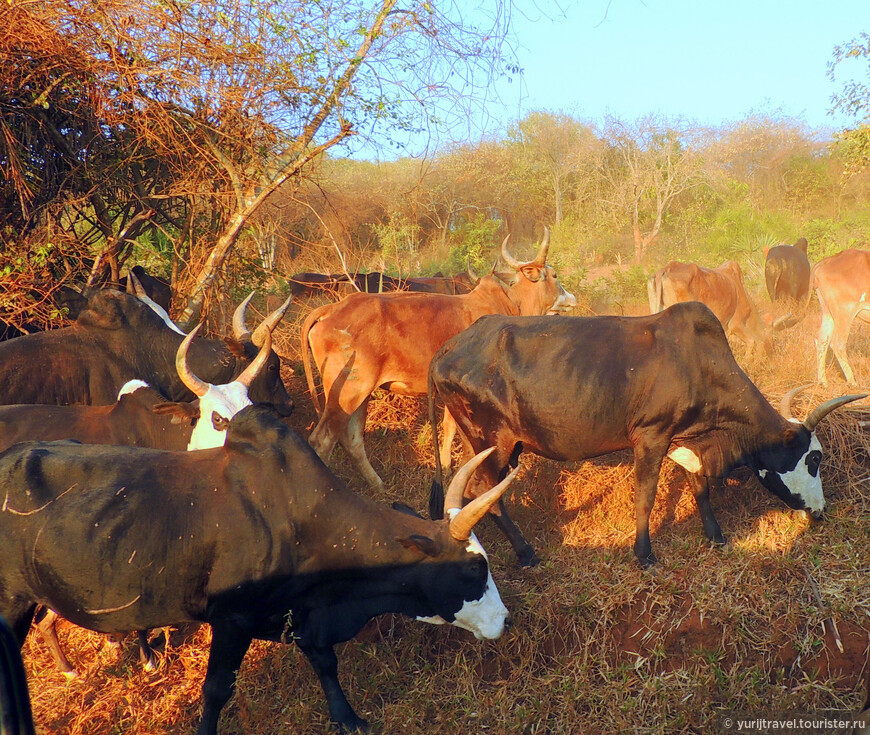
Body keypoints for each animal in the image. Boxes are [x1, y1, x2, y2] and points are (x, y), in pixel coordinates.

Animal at [0, 406, 516, 732]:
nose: (506, 621)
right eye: (473, 571)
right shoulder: (233, 620)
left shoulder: (305, 615)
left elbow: (326, 664)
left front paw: (348, 719)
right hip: (12, 604)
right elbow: (215, 691)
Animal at [302, 229, 580, 494]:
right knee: (322, 440)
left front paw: (445, 465)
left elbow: (448, 425)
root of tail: (331, 309)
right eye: (554, 275)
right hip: (349, 391)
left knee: (352, 439)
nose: (572, 299)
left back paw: (378, 485)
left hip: (360, 394)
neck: (510, 304)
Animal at [428, 302, 864, 568]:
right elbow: (646, 498)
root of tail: (446, 350)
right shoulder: (650, 437)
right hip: (492, 443)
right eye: (814, 458)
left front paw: (716, 536)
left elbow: (700, 487)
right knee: (488, 495)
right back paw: (526, 553)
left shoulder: (684, 438)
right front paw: (644, 554)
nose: (821, 510)